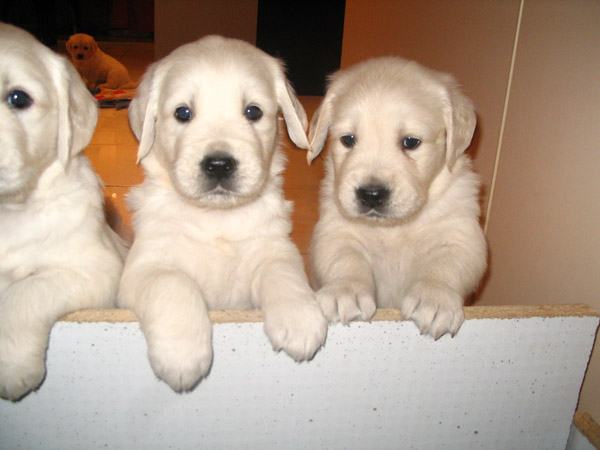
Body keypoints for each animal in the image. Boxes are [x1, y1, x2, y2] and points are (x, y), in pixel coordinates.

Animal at [118, 35, 328, 392]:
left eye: (253, 111)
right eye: (183, 113)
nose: (218, 165)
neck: (216, 219)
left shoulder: (274, 247)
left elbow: (284, 273)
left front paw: (300, 318)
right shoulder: (143, 268)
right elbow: (173, 283)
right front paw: (182, 352)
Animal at [307, 57, 487, 339]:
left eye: (411, 142)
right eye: (348, 139)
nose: (371, 194)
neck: (394, 228)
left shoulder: (460, 233)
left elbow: (447, 263)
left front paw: (434, 298)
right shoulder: (336, 229)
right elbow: (345, 258)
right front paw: (345, 291)